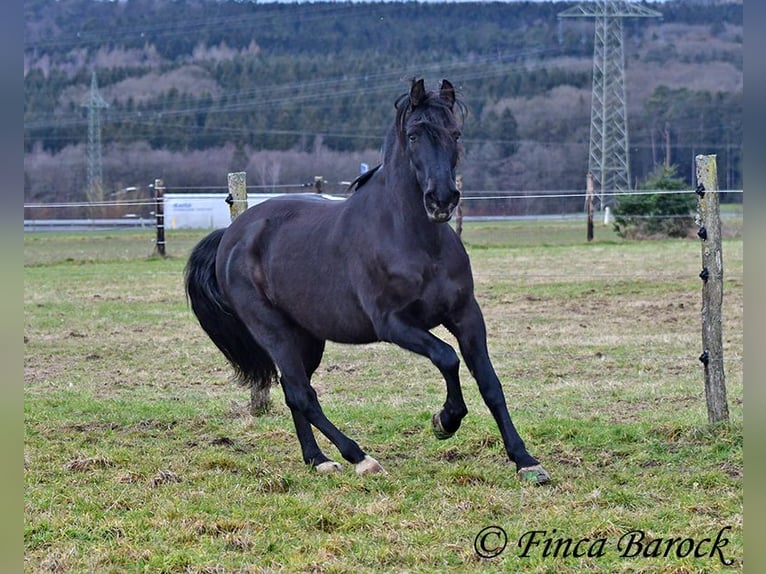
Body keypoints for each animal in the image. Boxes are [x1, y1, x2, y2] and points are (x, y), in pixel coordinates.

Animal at [186, 79, 552, 486]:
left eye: (455, 134)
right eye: (413, 135)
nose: (442, 199)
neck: (416, 241)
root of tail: (232, 235)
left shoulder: (466, 315)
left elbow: (490, 383)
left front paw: (525, 460)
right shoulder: (393, 324)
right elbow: (447, 357)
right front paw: (445, 421)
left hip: (307, 337)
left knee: (294, 390)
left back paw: (318, 460)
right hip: (273, 331)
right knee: (302, 393)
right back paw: (359, 458)